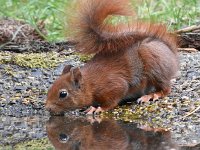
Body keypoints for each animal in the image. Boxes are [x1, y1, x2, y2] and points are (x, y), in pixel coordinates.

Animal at [45, 0, 178, 115]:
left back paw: (151, 95)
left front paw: (98, 108)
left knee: (165, 88)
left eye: (63, 94)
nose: (48, 108)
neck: (90, 84)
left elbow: (112, 101)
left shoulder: (114, 85)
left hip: (155, 66)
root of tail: (171, 53)